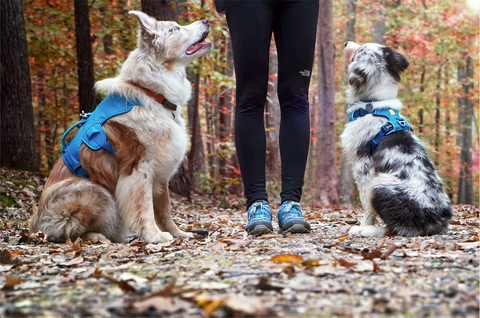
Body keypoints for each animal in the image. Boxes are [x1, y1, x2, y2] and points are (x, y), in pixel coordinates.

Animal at [28, 11, 212, 242]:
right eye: (175, 29)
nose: (207, 20)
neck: (152, 93)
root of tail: (36, 222)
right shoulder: (140, 168)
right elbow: (145, 207)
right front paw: (154, 235)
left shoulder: (161, 174)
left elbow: (165, 209)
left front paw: (177, 233)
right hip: (94, 191)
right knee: (69, 230)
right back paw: (98, 236)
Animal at [340, 41, 452, 236]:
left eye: (359, 50)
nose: (346, 43)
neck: (373, 103)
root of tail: (434, 221)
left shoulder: (362, 166)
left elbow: (366, 205)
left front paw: (363, 226)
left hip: (380, 186)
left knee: (394, 229)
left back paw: (367, 231)